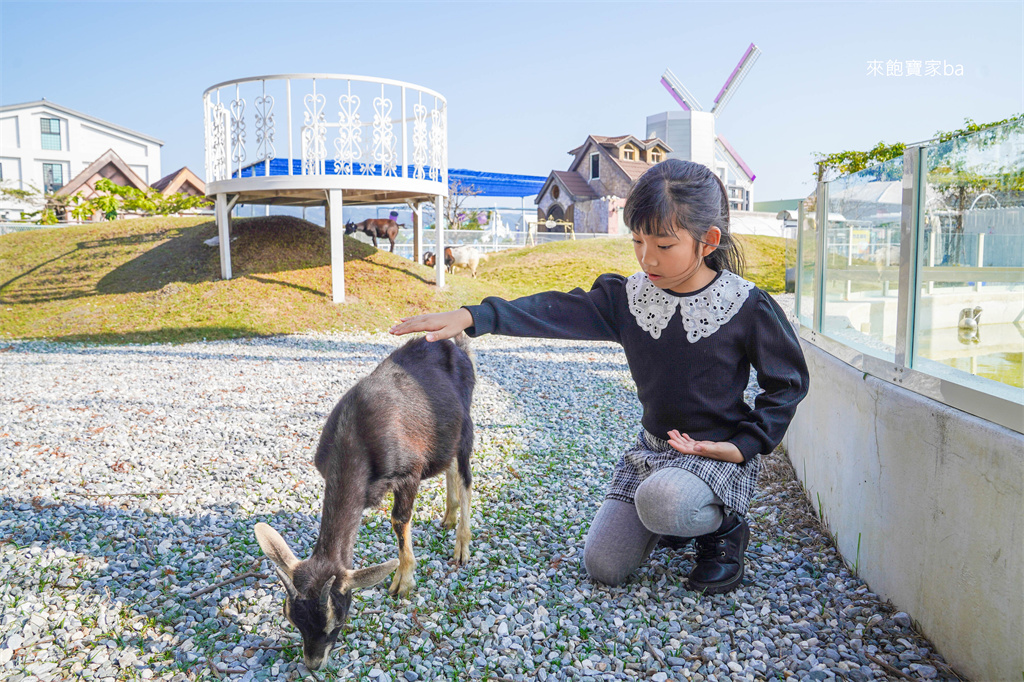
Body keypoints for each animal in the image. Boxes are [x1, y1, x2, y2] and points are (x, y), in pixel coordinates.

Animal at [256, 335, 479, 667]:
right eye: (291, 618)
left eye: (337, 620)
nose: (313, 664)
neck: (354, 438)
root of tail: (457, 346)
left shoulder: (409, 472)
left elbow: (399, 521)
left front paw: (403, 582)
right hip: (443, 437)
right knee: (449, 465)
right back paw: (449, 516)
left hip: (465, 426)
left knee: (465, 476)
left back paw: (461, 545)